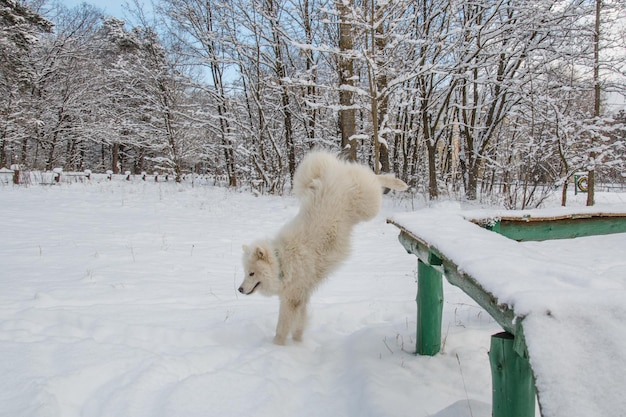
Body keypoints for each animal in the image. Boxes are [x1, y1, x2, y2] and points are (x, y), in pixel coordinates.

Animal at [236, 150, 408, 344]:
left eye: (251, 273)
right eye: (245, 273)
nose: (239, 289)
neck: (282, 262)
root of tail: (330, 175)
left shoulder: (290, 300)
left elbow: (282, 328)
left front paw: (276, 346)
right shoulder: (301, 297)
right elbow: (299, 325)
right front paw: (298, 344)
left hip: (369, 206)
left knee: (374, 177)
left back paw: (399, 184)